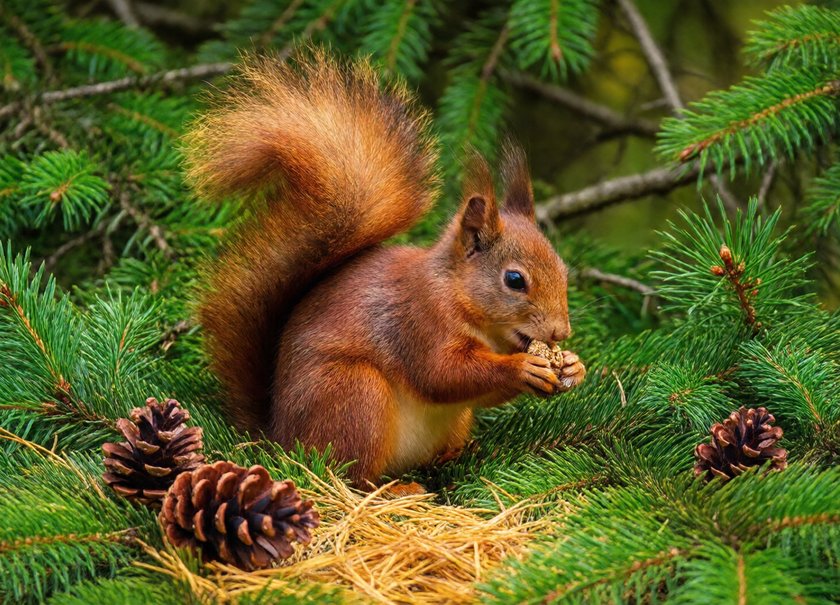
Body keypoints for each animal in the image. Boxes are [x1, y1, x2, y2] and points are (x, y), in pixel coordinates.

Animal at [184, 50, 586, 486]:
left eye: (564, 271)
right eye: (514, 280)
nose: (560, 332)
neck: (458, 296)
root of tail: (278, 438)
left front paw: (574, 366)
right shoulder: (420, 321)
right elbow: (442, 374)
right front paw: (521, 368)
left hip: (446, 419)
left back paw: (457, 455)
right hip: (355, 394)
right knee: (348, 474)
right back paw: (396, 491)